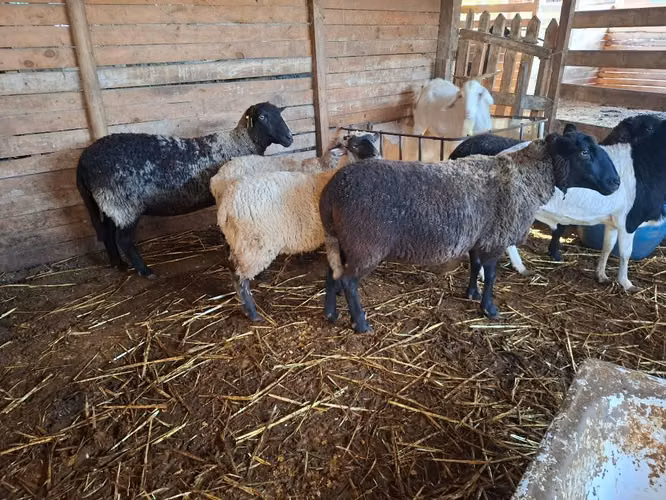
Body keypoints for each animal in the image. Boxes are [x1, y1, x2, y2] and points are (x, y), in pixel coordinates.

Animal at [76, 102, 293, 278]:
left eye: (280, 114)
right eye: (263, 117)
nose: (289, 138)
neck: (239, 143)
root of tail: (83, 160)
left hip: (108, 203)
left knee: (107, 232)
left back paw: (118, 265)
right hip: (123, 204)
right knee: (124, 239)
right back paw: (145, 271)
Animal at [210, 130, 380, 321]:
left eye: (372, 140)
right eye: (354, 145)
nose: (376, 157)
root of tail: (226, 203)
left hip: (238, 241)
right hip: (255, 245)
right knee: (240, 279)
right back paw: (252, 313)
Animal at [319, 131, 621, 332]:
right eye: (584, 152)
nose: (615, 182)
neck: (526, 178)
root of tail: (331, 191)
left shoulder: (480, 237)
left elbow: (475, 267)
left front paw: (472, 293)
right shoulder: (496, 239)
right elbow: (492, 276)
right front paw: (489, 309)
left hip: (340, 240)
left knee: (332, 275)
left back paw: (331, 314)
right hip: (366, 245)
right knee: (349, 282)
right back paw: (361, 323)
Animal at [499, 120, 666, 291]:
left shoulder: (613, 221)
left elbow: (607, 246)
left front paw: (601, 275)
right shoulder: (630, 220)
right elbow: (626, 253)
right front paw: (626, 283)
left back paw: (520, 267)